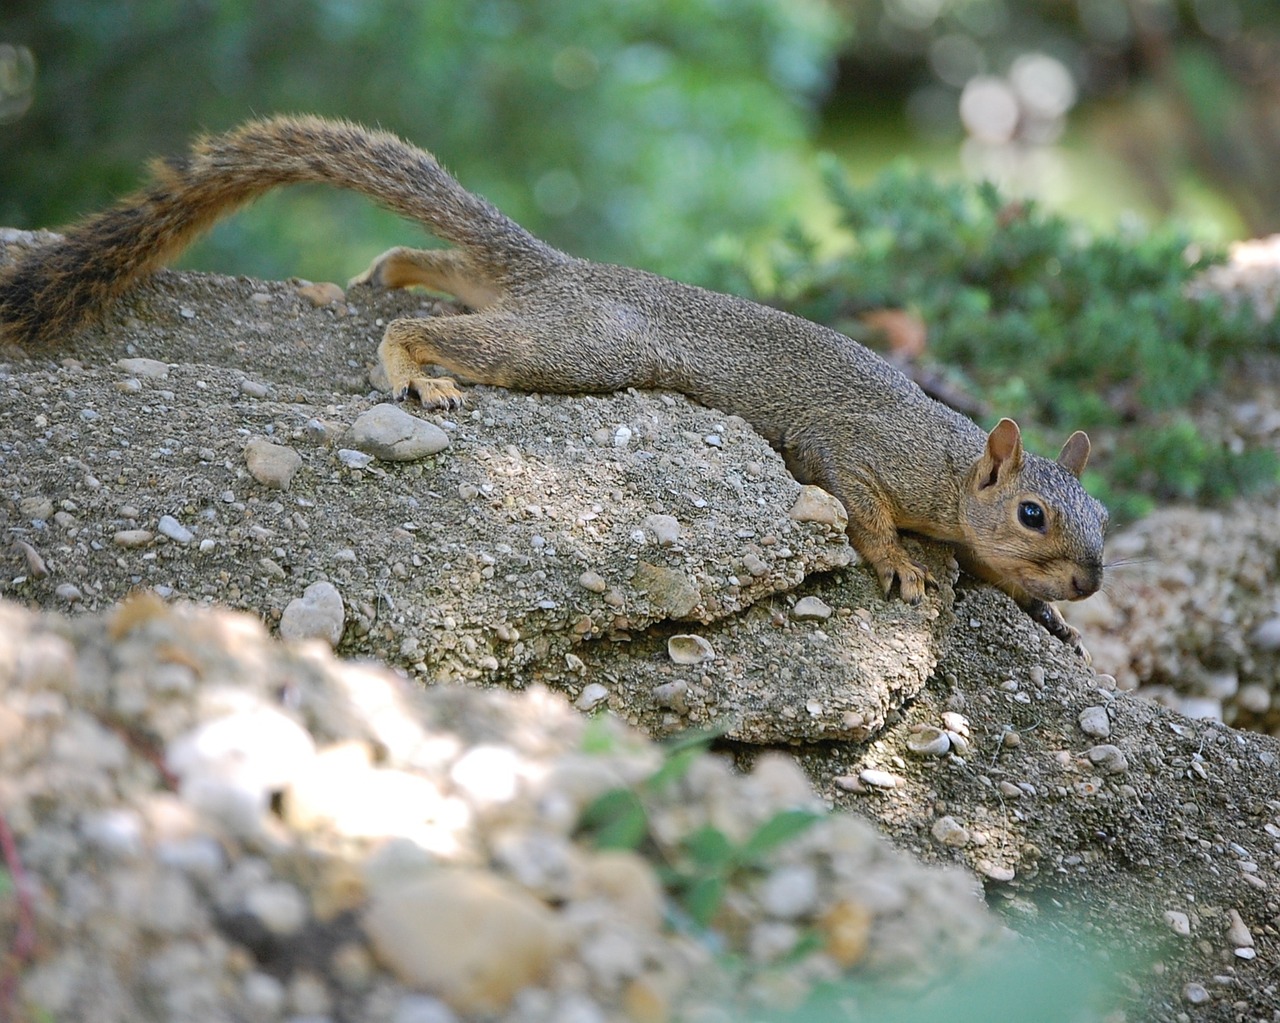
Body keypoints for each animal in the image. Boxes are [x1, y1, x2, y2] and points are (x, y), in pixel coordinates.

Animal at [0, 115, 1105, 652]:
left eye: (1105, 525)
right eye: (1035, 514)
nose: (1090, 582)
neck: (954, 464)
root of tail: (562, 273)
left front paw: (1046, 617)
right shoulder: (862, 451)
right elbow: (862, 508)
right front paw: (904, 567)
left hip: (529, 311)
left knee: (445, 267)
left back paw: (385, 271)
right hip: (576, 348)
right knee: (435, 330)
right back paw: (413, 371)